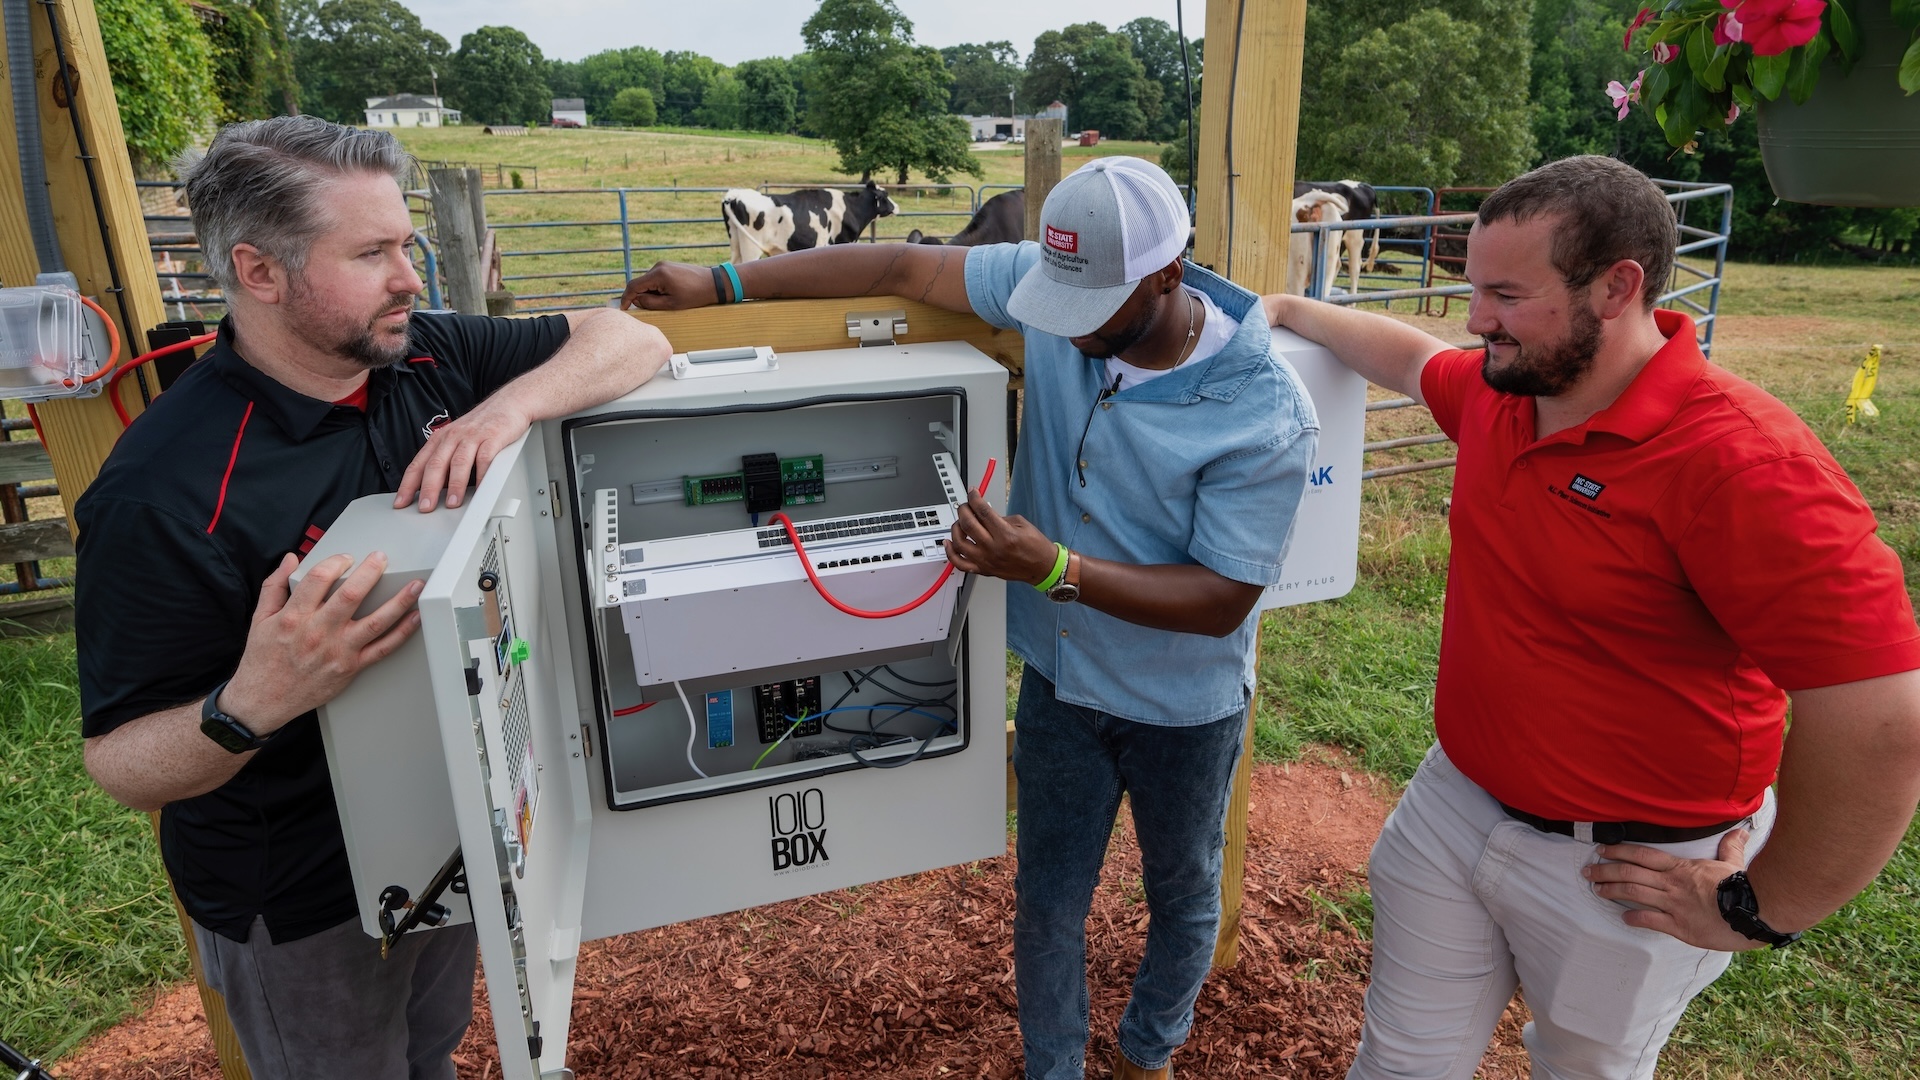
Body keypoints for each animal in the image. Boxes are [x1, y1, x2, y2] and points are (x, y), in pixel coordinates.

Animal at [721, 180, 898, 263]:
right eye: (885, 195)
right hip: (751, 248)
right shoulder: (842, 243)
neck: (850, 208)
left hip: (736, 245)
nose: (897, 207)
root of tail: (734, 195)